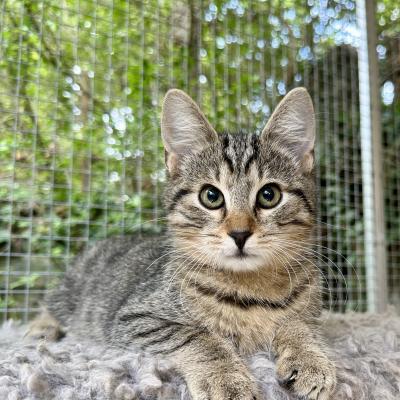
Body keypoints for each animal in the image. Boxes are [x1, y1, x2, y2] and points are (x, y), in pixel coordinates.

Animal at [28, 87, 336, 400]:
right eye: (211, 196)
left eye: (269, 195)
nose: (239, 233)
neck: (251, 286)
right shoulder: (135, 319)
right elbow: (197, 336)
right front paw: (226, 378)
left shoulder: (312, 313)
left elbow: (298, 324)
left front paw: (308, 357)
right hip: (73, 292)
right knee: (49, 305)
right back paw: (40, 328)